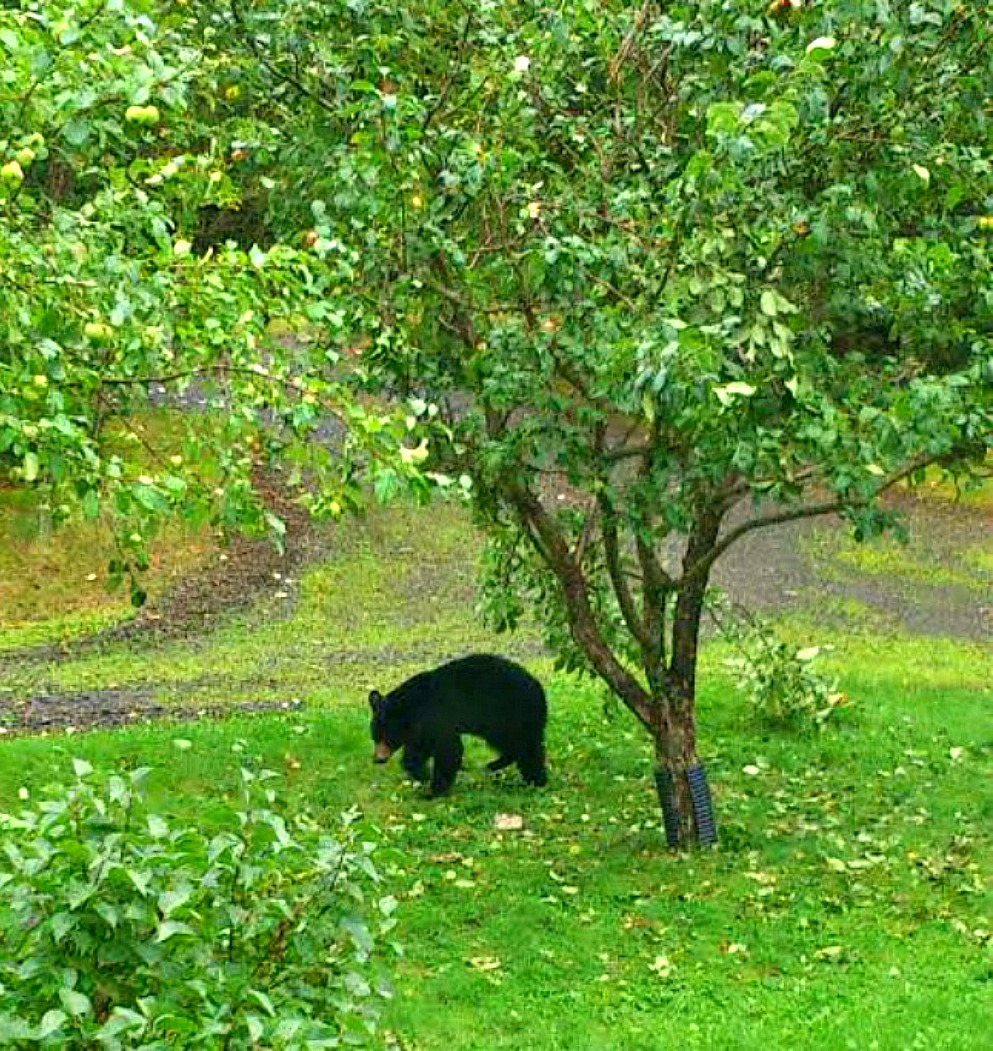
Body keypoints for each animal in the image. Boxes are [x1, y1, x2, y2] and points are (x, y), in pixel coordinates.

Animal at [368, 653, 548, 796]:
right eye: (374, 737)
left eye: (386, 737)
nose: (377, 759)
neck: (414, 706)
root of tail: (540, 691)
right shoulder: (423, 728)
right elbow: (419, 750)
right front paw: (422, 774)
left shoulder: (438, 717)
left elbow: (449, 750)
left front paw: (433, 791)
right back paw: (495, 764)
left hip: (512, 717)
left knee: (527, 749)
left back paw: (535, 781)